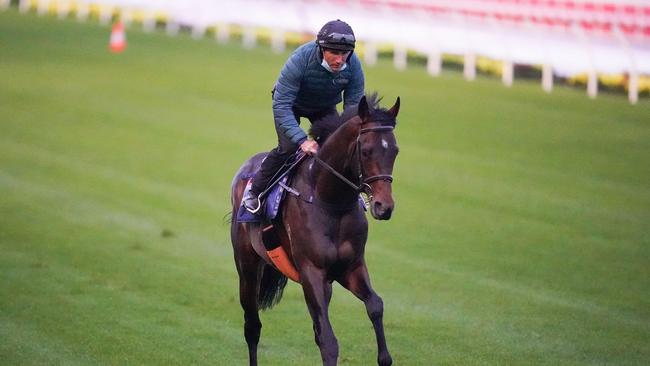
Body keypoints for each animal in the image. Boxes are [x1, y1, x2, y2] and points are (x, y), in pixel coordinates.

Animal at [228, 94, 400, 366]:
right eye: (366, 151)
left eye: (394, 150)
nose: (384, 207)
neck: (330, 201)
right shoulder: (312, 272)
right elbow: (328, 341)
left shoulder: (350, 267)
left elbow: (375, 305)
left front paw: (384, 356)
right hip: (247, 268)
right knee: (252, 327)